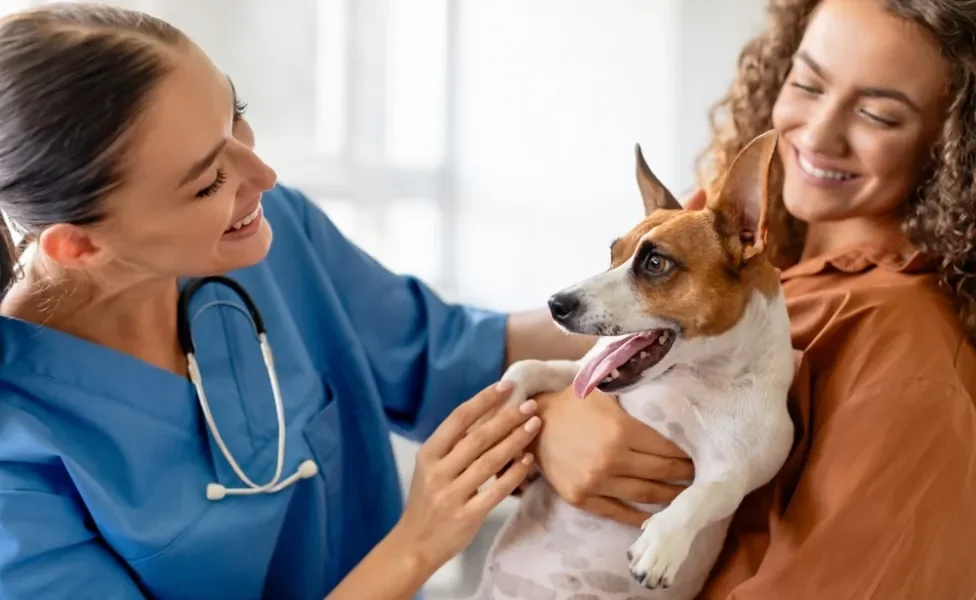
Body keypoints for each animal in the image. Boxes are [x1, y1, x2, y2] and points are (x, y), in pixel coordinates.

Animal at [468, 131, 796, 600]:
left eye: (655, 263)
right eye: (613, 253)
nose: (555, 304)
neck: (690, 377)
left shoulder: (739, 464)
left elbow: (706, 493)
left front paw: (663, 542)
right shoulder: (581, 370)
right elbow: (528, 367)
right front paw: (500, 414)